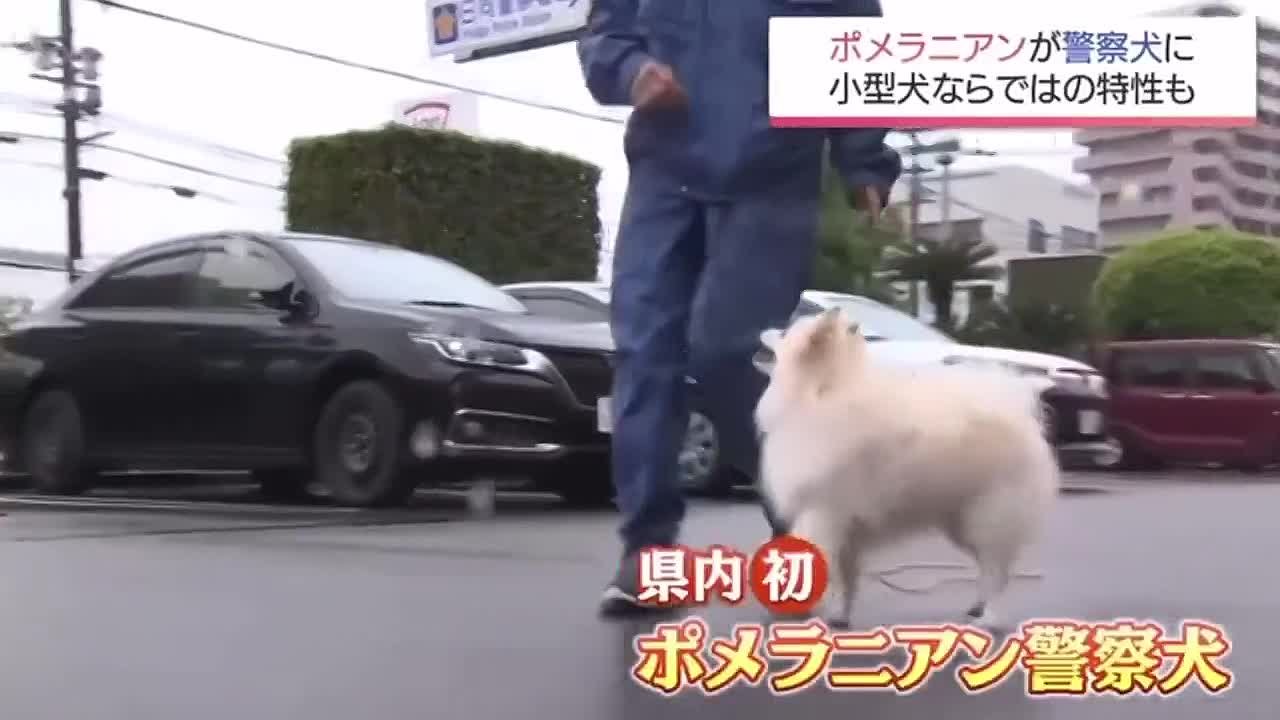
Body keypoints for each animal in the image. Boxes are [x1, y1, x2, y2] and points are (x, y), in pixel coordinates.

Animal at [754, 308, 1058, 630]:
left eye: (785, 332)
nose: (764, 329)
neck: (822, 391)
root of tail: (1021, 414)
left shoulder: (823, 514)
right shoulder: (848, 529)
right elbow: (848, 578)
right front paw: (841, 616)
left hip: (989, 518)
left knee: (997, 572)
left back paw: (989, 618)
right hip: (962, 524)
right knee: (989, 570)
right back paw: (977, 608)